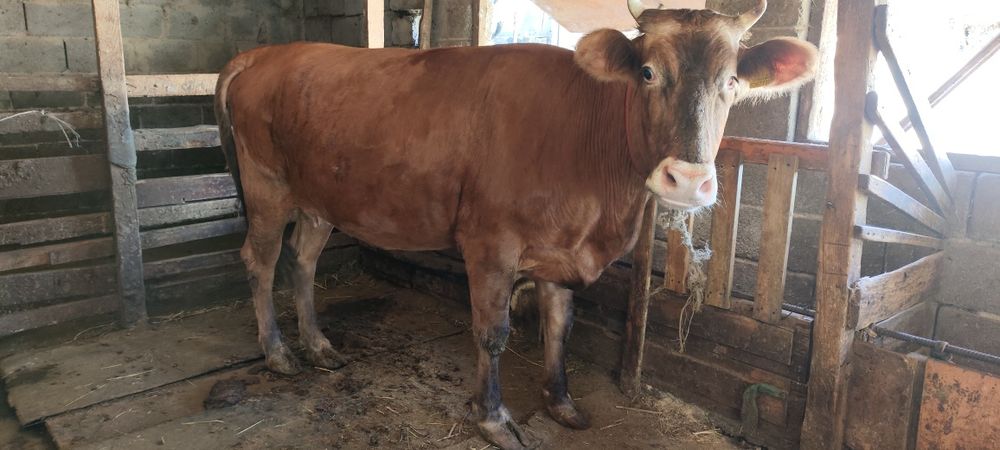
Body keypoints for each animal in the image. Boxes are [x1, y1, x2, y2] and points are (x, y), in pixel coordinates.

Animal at [214, 0, 816, 448]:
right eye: (647, 73)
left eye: (733, 81)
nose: (687, 180)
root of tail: (264, 54)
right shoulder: (490, 244)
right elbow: (493, 332)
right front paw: (493, 418)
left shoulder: (562, 250)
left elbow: (560, 326)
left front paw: (561, 402)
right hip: (266, 187)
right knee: (260, 262)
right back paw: (279, 353)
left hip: (320, 197)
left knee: (303, 260)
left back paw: (318, 345)